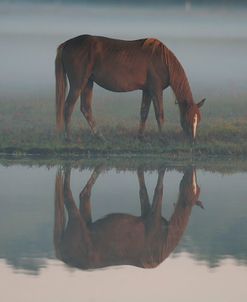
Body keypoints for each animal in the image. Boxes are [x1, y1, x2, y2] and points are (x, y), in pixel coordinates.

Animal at [54, 166, 203, 270]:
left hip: (85, 221)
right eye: (192, 187)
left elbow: (143, 190)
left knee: (84, 194)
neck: (165, 238)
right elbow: (159, 188)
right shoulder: (152, 217)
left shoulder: (146, 213)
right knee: (67, 192)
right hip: (76, 221)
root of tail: (61, 255)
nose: (192, 173)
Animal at [55, 36, 206, 142]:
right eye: (189, 118)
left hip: (88, 83)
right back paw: (69, 137)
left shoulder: (147, 90)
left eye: (198, 119)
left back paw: (100, 136)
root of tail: (67, 43)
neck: (163, 60)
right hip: (78, 84)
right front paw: (162, 138)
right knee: (68, 107)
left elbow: (144, 112)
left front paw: (141, 137)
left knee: (86, 108)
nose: (193, 140)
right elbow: (159, 114)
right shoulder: (156, 90)